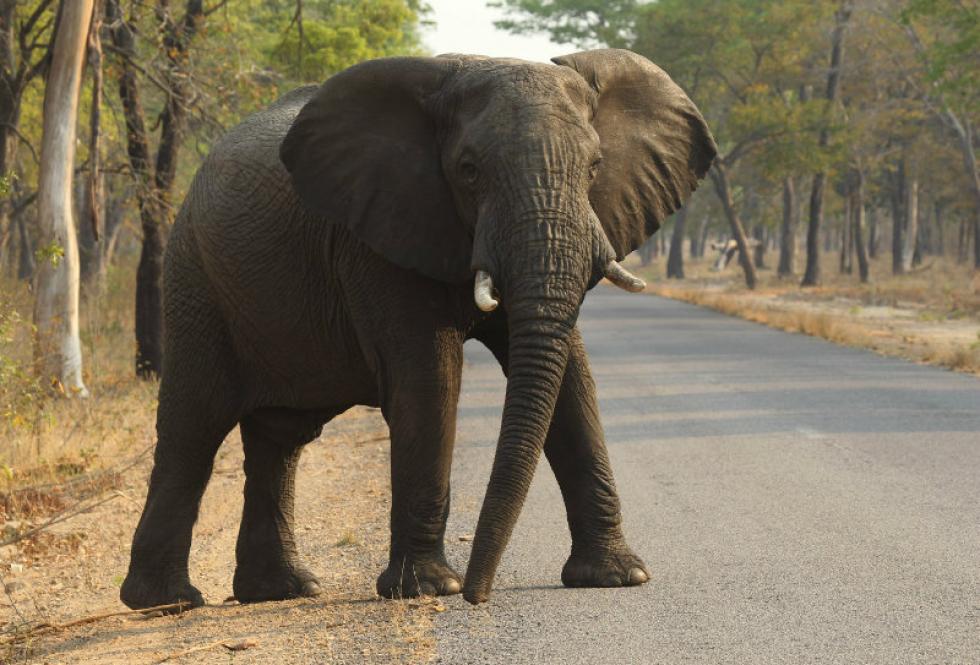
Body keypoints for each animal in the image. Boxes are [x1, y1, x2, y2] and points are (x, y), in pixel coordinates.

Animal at [118, 46, 716, 608]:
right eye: (469, 170)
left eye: (594, 168)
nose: (480, 594)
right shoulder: (377, 236)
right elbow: (431, 378)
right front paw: (430, 589)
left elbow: (572, 378)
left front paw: (618, 577)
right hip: (194, 277)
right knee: (194, 425)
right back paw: (167, 601)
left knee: (279, 438)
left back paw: (282, 590)